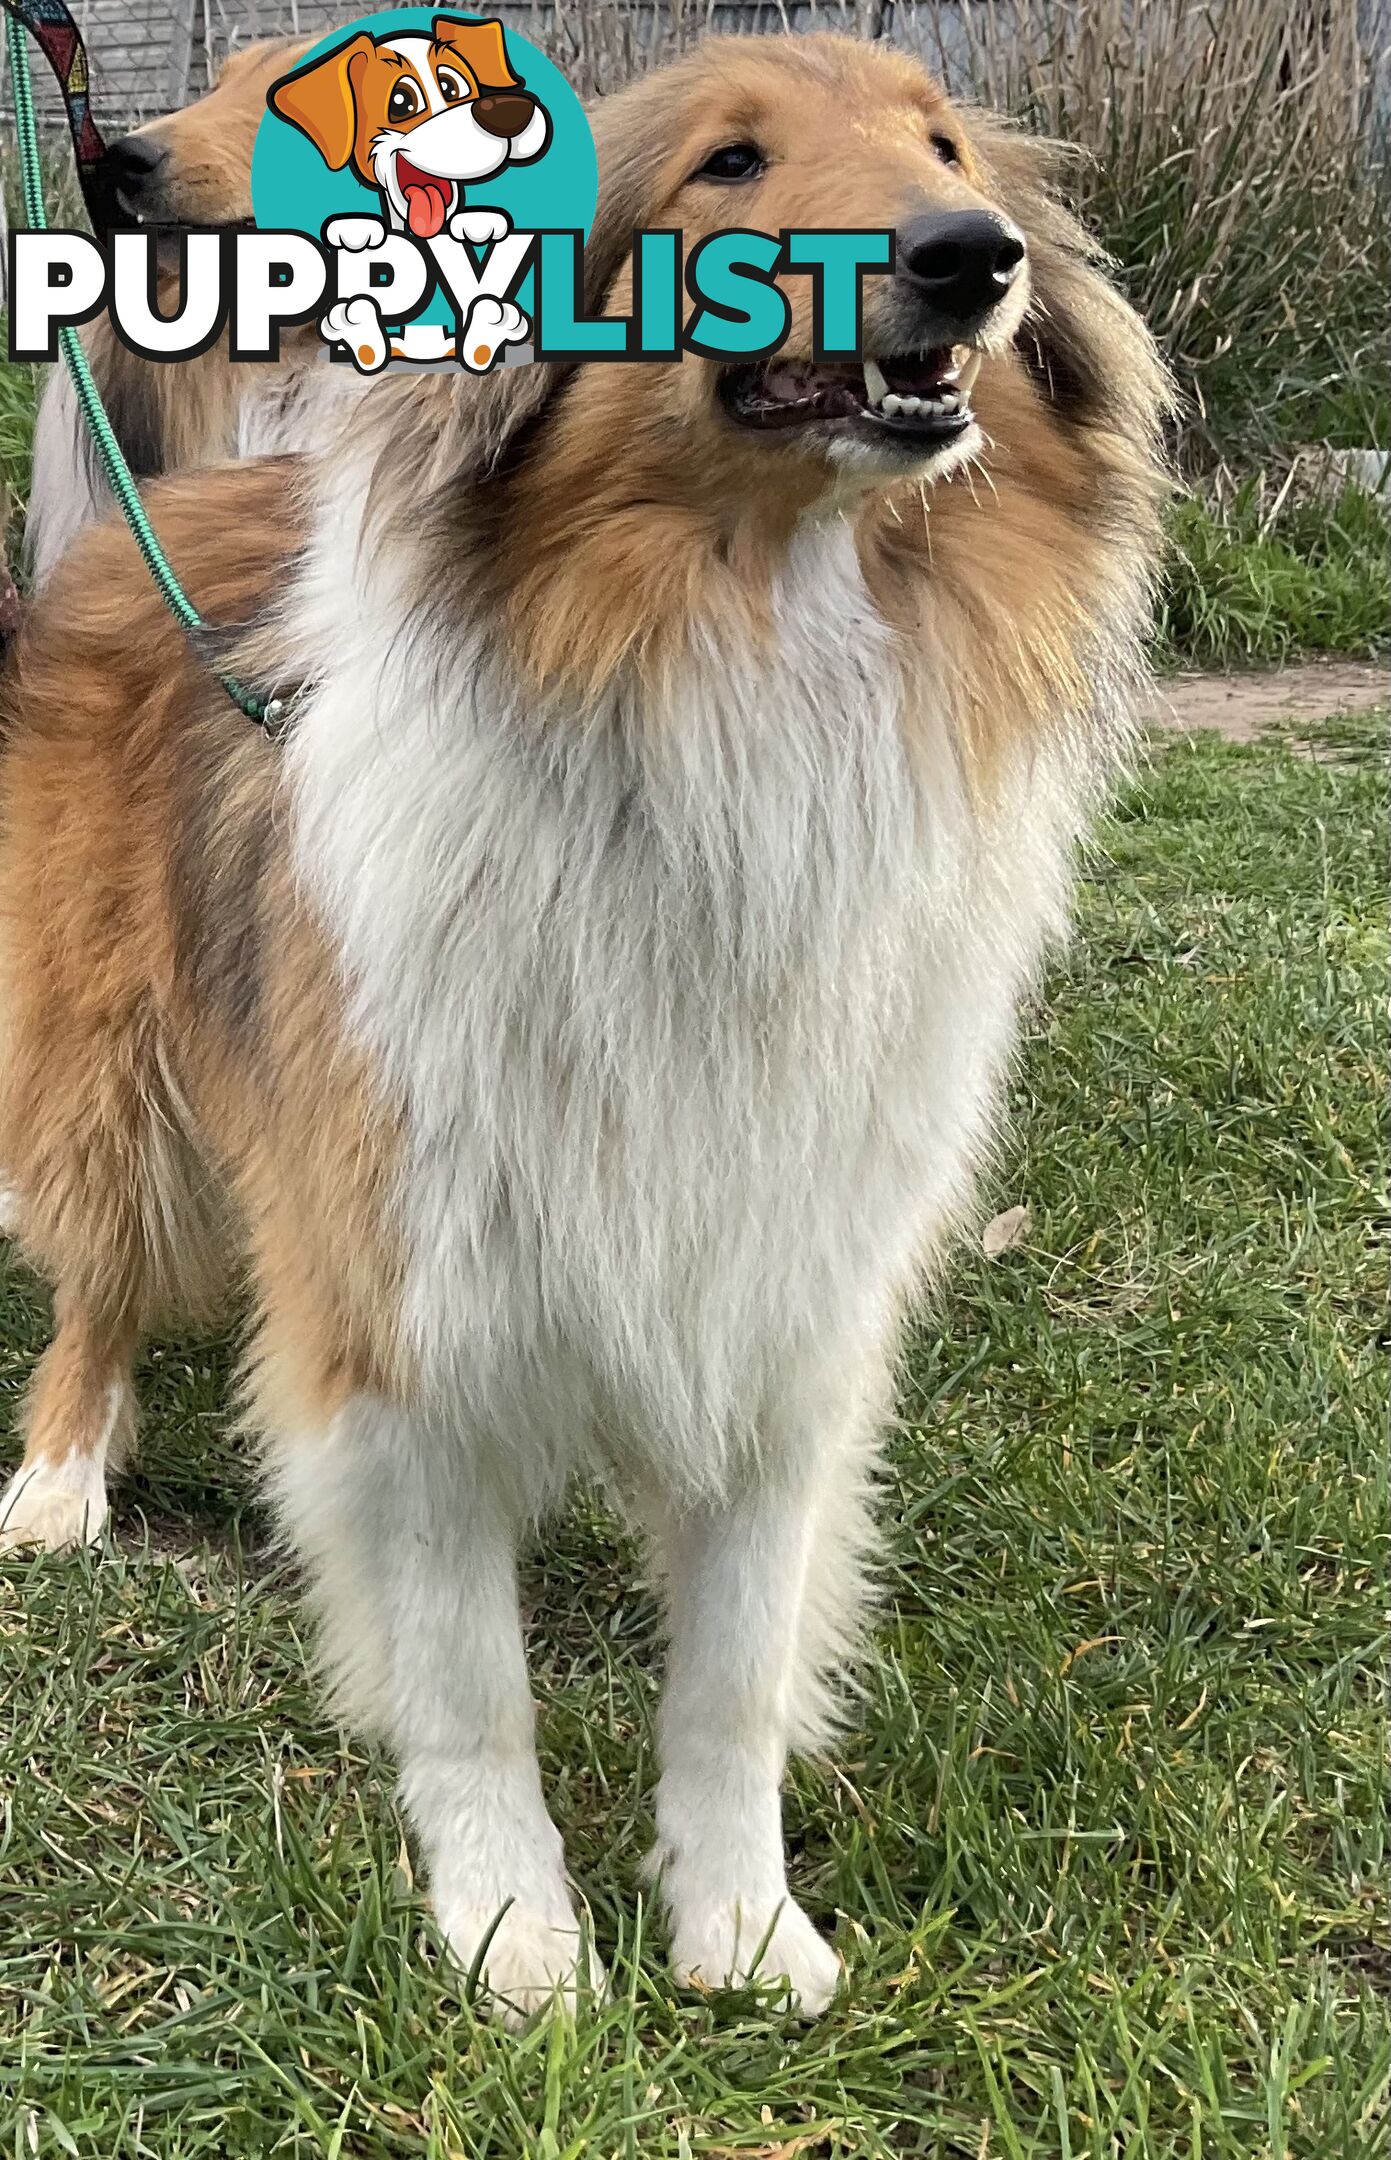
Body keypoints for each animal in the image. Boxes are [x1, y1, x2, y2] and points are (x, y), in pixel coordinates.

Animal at [0, 38, 1166, 2021]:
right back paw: (62, 1480)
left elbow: (734, 1681)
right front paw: (514, 1936)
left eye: (942, 144)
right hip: (108, 1072)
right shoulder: (398, 1300)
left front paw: (740, 1927)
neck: (725, 676)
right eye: (727, 164)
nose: (971, 255)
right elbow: (469, 1685)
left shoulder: (779, 1297)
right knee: (98, 1279)